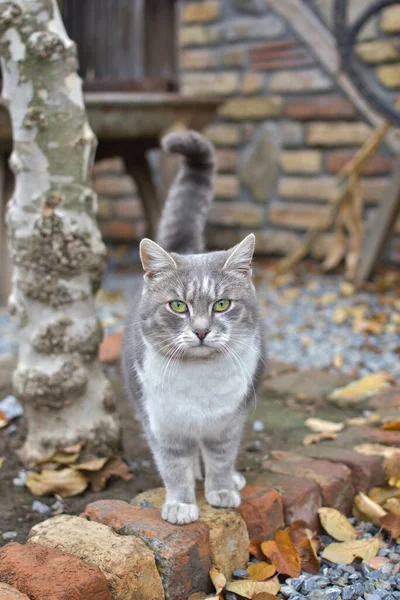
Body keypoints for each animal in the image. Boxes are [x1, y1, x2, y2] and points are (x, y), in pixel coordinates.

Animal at [122, 129, 266, 524]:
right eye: (178, 306)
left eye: (221, 304)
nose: (201, 331)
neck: (199, 380)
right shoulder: (163, 427)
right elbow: (174, 468)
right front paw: (181, 504)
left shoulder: (227, 424)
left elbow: (220, 458)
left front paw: (222, 490)